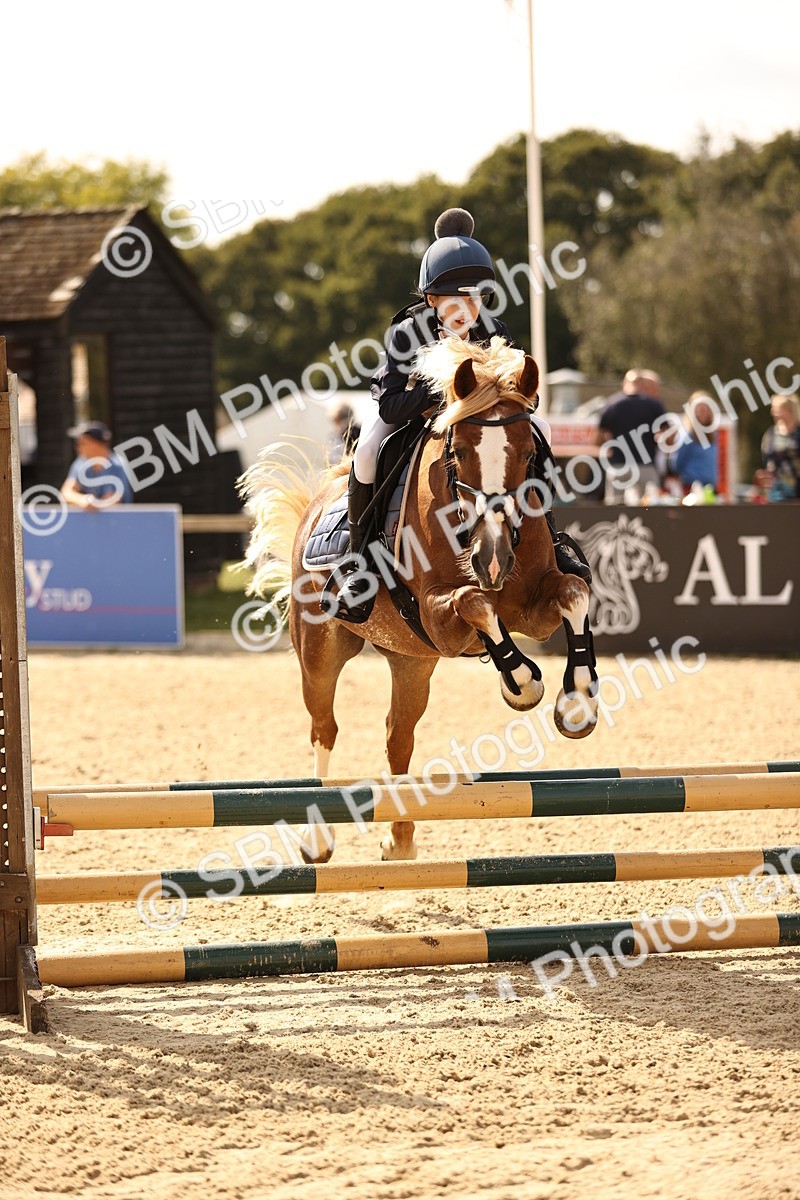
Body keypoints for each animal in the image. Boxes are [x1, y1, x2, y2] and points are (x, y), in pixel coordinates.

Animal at [240, 336, 598, 862]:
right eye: (460, 452)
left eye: (530, 451)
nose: (493, 560)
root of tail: (317, 499)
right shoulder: (438, 615)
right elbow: (475, 603)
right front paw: (521, 682)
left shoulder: (534, 609)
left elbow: (573, 591)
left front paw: (578, 703)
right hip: (320, 652)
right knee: (324, 728)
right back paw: (318, 842)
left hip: (411, 661)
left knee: (398, 737)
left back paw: (401, 838)